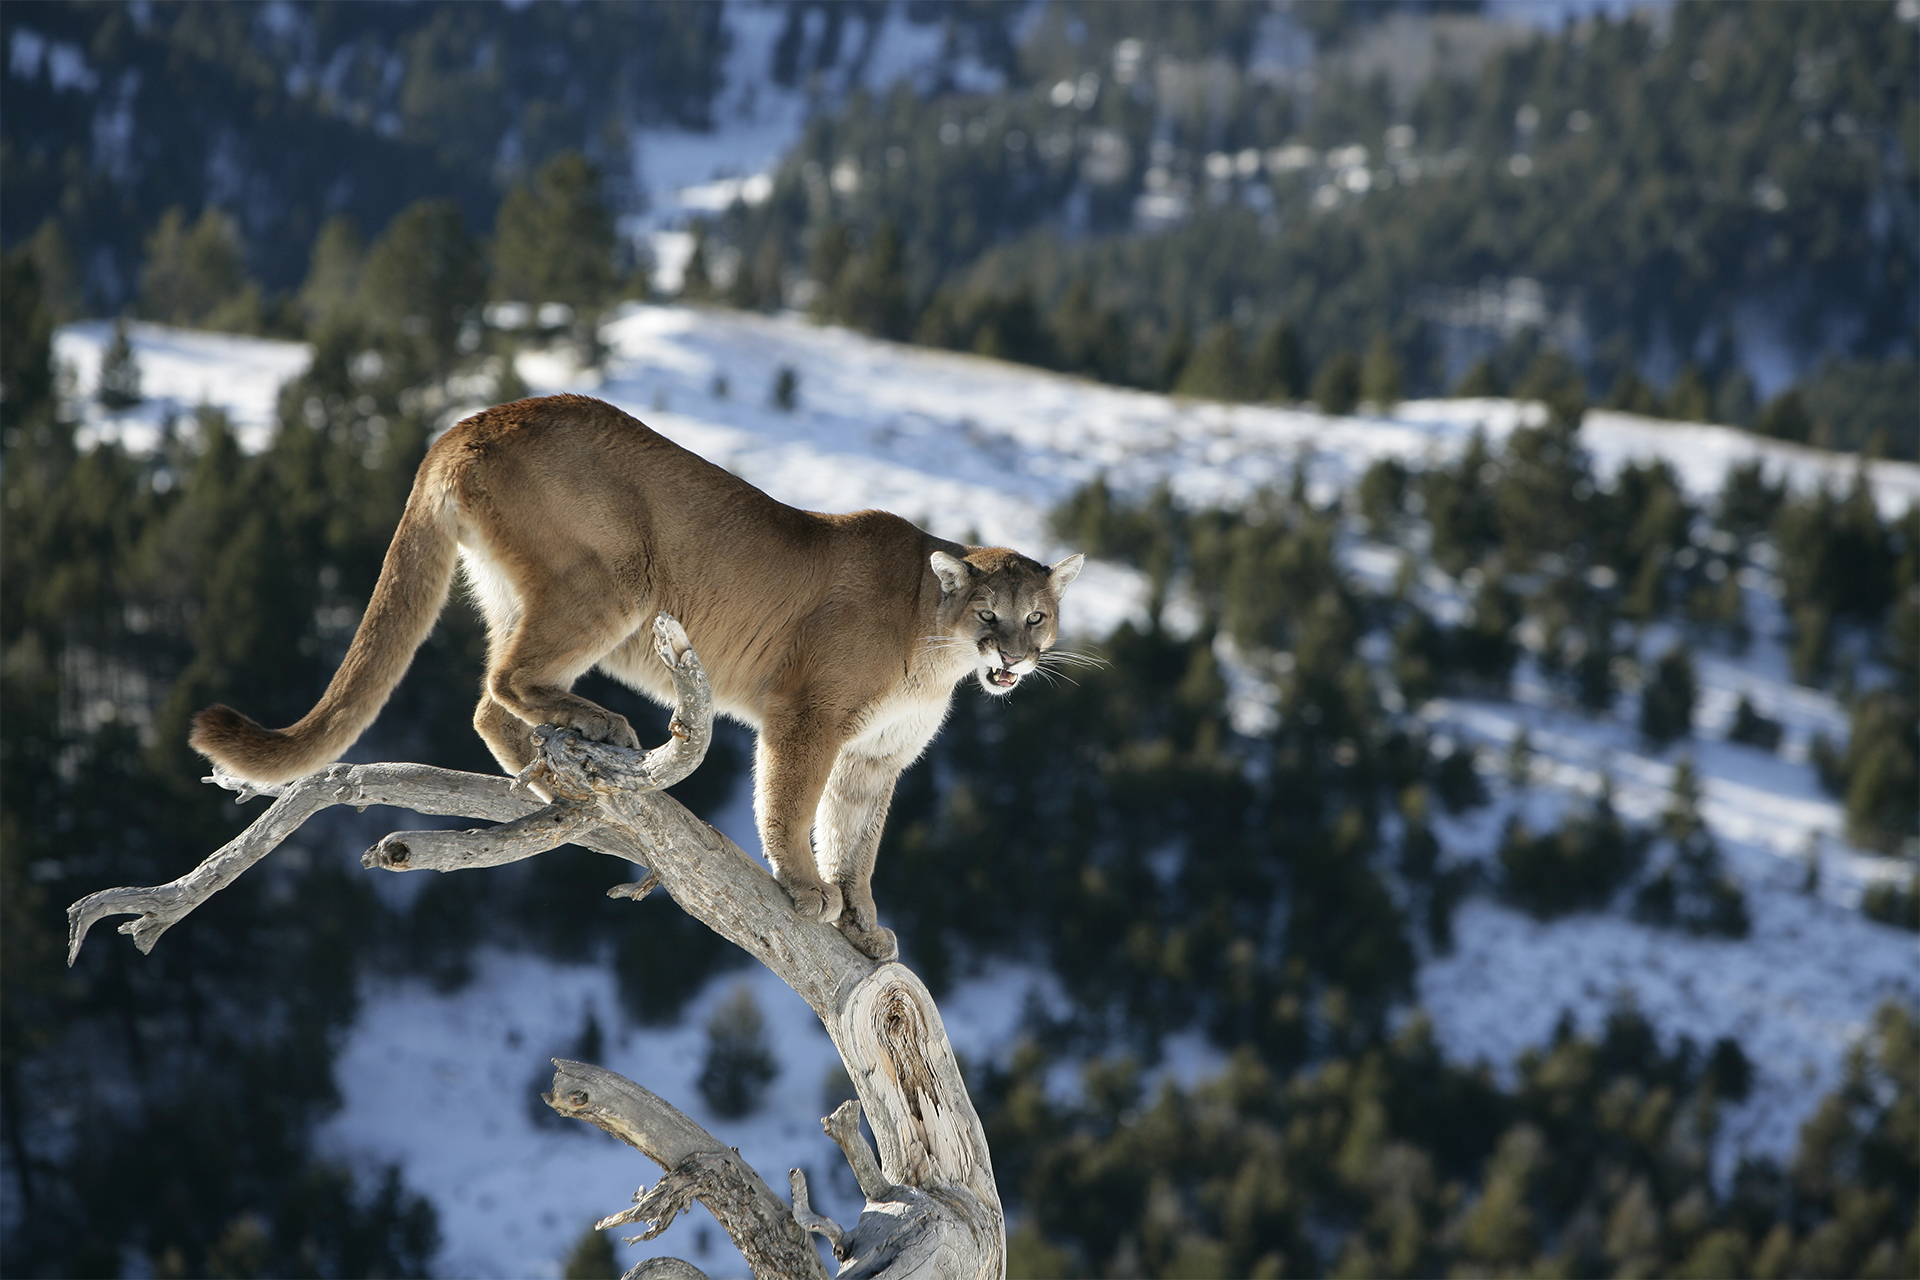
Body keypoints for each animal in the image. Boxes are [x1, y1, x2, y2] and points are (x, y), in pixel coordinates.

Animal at [191, 395, 1082, 955]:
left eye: (1036, 617)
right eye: (988, 616)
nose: (1013, 658)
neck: (932, 648)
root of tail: (472, 419)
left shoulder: (875, 757)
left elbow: (856, 842)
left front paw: (863, 923)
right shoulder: (809, 718)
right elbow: (793, 807)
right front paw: (803, 889)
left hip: (522, 589)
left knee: (486, 700)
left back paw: (556, 785)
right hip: (615, 577)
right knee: (508, 680)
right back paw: (594, 732)